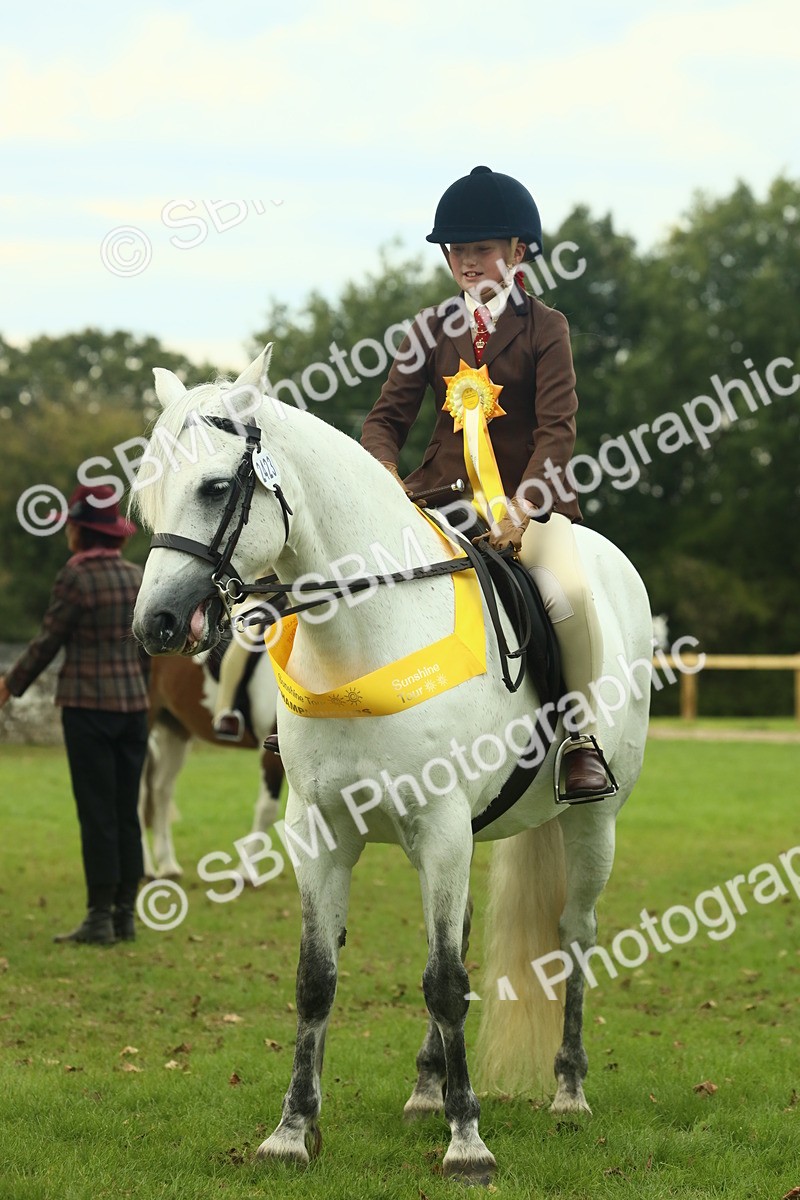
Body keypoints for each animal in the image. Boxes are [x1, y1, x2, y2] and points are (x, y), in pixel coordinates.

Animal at [139, 631, 283, 879]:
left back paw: (167, 865)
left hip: (174, 729)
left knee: (161, 791)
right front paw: (246, 872)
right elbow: (267, 809)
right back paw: (146, 868)